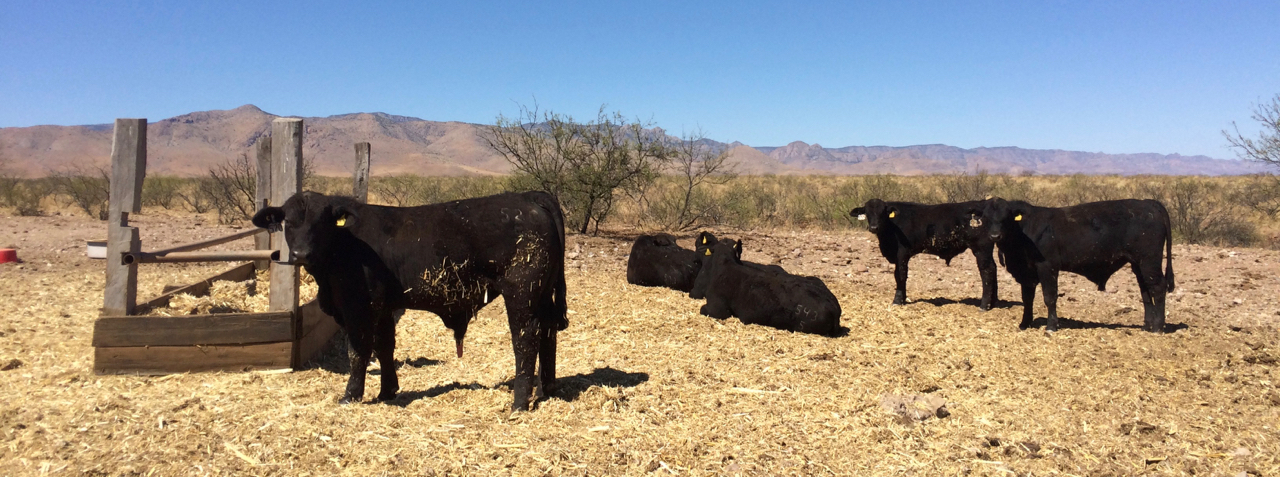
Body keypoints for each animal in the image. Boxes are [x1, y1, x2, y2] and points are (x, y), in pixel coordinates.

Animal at [251, 191, 567, 411]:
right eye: (289, 222)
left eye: (322, 223)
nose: (301, 254)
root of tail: (527, 196)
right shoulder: (384, 307)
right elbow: (384, 347)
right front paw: (387, 390)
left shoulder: (359, 307)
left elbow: (358, 352)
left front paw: (351, 395)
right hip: (543, 294)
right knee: (548, 334)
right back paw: (547, 388)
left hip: (522, 293)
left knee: (525, 339)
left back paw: (519, 402)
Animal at [849, 199, 999, 310]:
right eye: (867, 212)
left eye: (882, 212)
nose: (874, 227)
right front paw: (903, 298)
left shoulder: (902, 253)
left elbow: (900, 275)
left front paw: (898, 300)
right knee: (993, 268)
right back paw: (993, 302)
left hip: (981, 249)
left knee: (987, 271)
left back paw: (984, 305)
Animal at [976, 198, 1174, 332]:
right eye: (985, 217)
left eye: (1006, 217)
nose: (995, 236)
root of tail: (1148, 203)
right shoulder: (1026, 273)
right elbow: (1027, 299)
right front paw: (1025, 323)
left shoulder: (1047, 267)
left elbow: (1049, 297)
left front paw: (1051, 326)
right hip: (1138, 264)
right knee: (1145, 291)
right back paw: (1147, 325)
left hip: (1150, 261)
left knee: (1158, 287)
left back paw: (1157, 327)